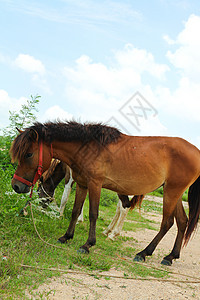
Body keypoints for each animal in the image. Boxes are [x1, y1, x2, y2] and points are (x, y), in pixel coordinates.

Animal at [10, 120, 200, 266]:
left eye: (28, 154)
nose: (17, 186)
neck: (88, 148)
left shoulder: (95, 184)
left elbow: (93, 213)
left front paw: (87, 245)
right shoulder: (82, 185)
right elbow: (75, 211)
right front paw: (66, 236)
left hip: (171, 192)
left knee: (167, 223)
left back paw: (143, 253)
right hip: (174, 193)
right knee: (182, 221)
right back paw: (170, 256)